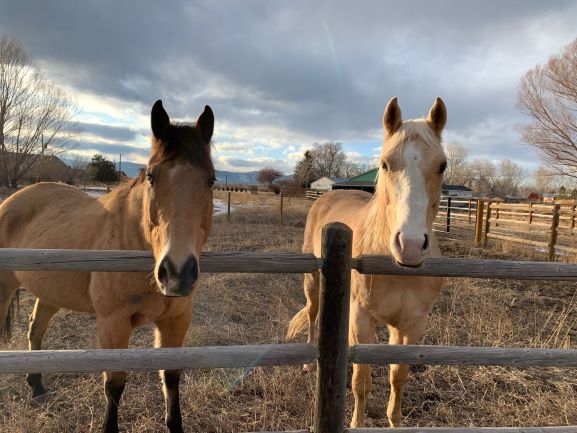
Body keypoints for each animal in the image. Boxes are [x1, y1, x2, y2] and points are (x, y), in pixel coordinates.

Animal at [0, 99, 216, 430]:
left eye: (211, 180)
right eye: (152, 177)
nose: (177, 273)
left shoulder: (176, 320)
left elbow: (171, 378)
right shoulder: (113, 324)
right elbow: (114, 384)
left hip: (49, 293)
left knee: (35, 330)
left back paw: (36, 386)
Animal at [288, 97, 446, 426]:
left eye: (442, 165)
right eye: (385, 164)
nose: (410, 245)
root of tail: (325, 196)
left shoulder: (412, 324)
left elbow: (398, 377)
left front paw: (395, 422)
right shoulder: (361, 319)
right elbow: (361, 379)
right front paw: (356, 423)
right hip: (313, 282)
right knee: (312, 313)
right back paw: (309, 362)